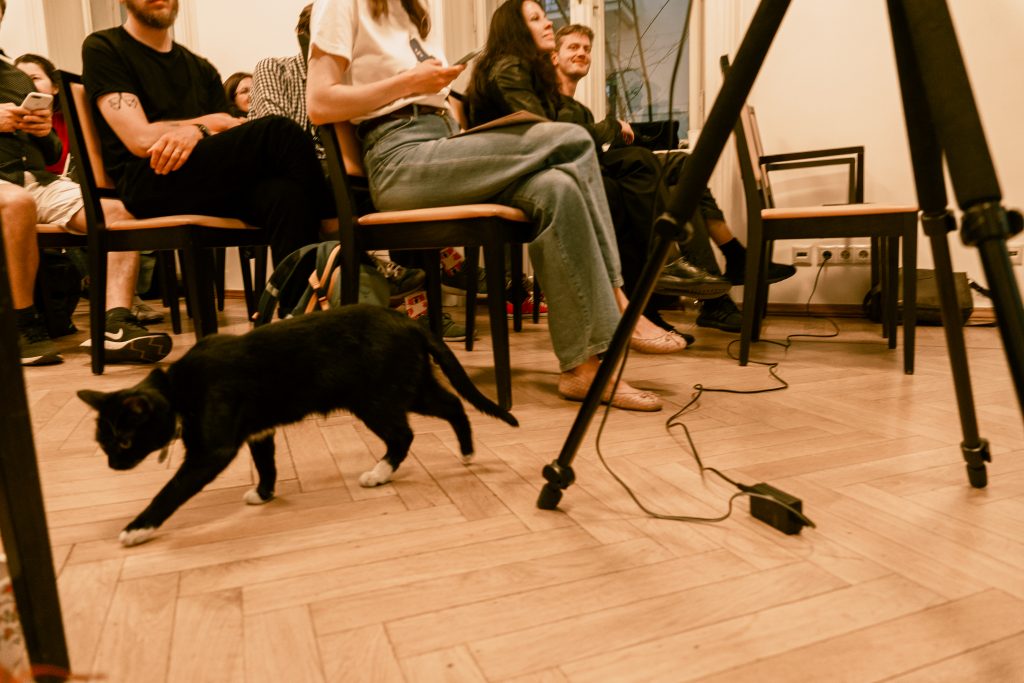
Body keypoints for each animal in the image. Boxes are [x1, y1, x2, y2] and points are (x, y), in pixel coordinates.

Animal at [78, 304, 518, 547]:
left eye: (123, 442)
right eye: (104, 444)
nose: (112, 465)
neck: (179, 389)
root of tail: (409, 322)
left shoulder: (212, 451)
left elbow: (170, 490)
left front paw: (138, 528)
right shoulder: (259, 432)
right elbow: (268, 464)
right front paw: (264, 494)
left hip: (376, 399)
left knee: (404, 434)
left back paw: (379, 474)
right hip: (413, 388)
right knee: (453, 405)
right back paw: (467, 452)